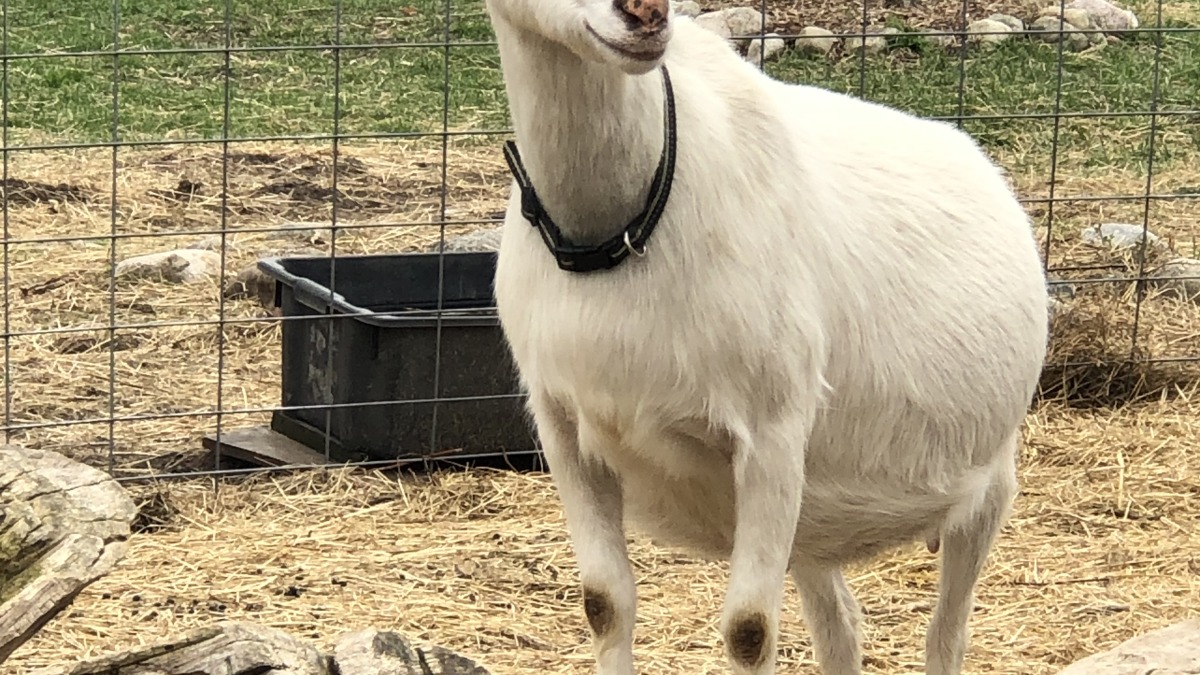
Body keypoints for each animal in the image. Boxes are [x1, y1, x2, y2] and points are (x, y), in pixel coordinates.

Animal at [484, 0, 1050, 672]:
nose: (644, 16)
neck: (616, 228)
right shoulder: (564, 426)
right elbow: (603, 601)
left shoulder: (771, 429)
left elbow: (749, 630)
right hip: (814, 511)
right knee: (839, 624)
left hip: (987, 481)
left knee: (948, 628)